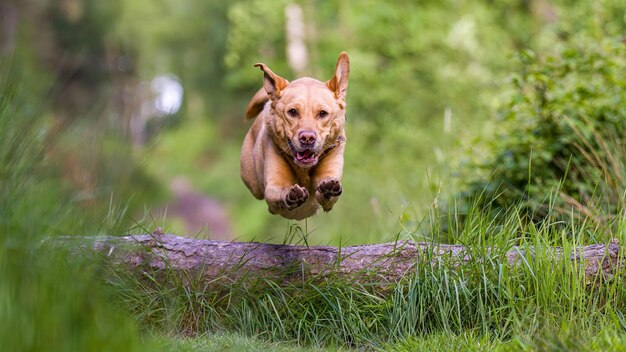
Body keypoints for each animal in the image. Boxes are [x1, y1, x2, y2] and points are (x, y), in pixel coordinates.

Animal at [239, 51, 348, 220]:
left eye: (323, 113)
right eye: (292, 112)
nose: (307, 138)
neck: (304, 170)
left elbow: (327, 192)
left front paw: (329, 188)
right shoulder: (273, 186)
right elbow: (278, 193)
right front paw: (292, 195)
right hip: (251, 180)